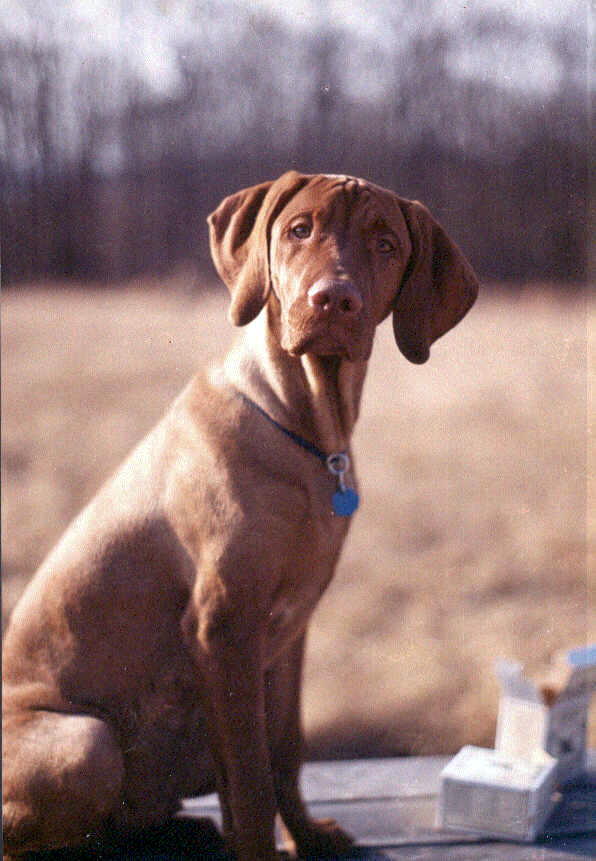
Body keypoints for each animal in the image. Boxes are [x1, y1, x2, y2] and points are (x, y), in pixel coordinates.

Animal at [2, 171, 478, 856]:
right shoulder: (223, 625)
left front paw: (307, 835)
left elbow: (284, 752)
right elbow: (252, 779)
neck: (305, 426)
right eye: (299, 229)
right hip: (86, 743)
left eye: (386, 243)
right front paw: (260, 847)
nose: (333, 300)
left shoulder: (289, 630)